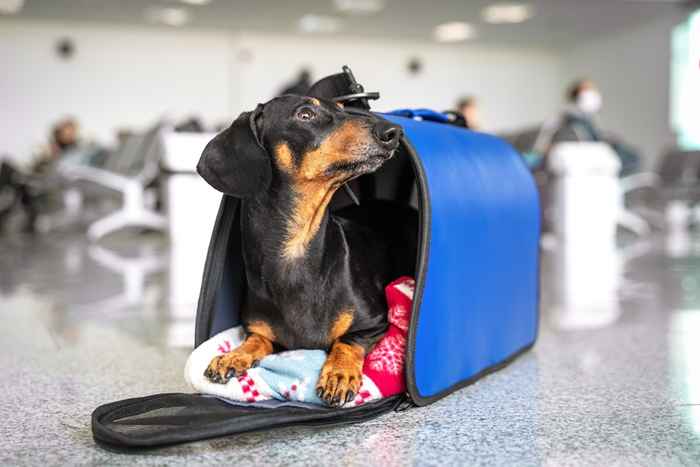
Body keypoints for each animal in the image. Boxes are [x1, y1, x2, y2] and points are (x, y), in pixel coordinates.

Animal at [197, 94, 416, 406]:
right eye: (305, 114)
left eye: (342, 109)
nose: (394, 132)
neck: (297, 251)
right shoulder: (257, 329)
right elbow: (257, 339)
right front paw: (233, 356)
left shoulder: (374, 322)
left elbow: (346, 341)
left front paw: (339, 373)